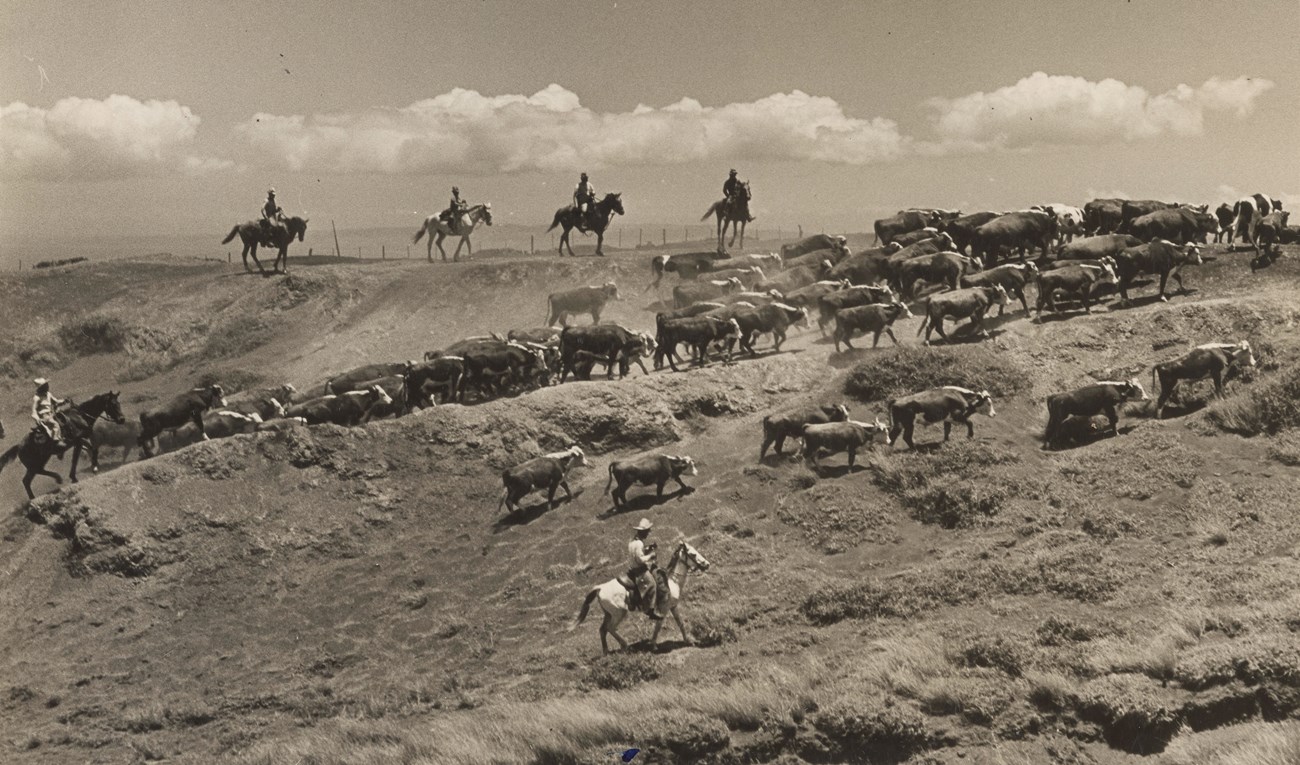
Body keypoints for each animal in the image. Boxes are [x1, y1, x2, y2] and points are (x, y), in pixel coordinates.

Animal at [572, 538, 712, 658]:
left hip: (608, 614)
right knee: (610, 628)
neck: (671, 582)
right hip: (619, 613)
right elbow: (658, 627)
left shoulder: (673, 607)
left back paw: (606, 651)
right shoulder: (663, 610)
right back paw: (625, 645)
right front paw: (653, 645)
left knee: (602, 630)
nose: (707, 564)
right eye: (693, 554)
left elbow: (680, 623)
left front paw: (688, 640)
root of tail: (600, 588)